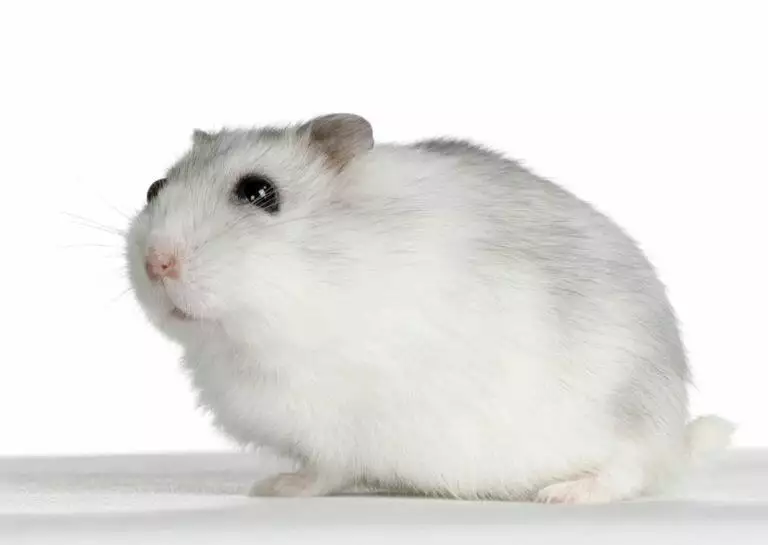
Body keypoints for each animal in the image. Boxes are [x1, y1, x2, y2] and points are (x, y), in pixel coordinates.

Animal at [125, 113, 733, 503]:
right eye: (154, 187)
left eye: (258, 192)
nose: (157, 263)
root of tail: (673, 431)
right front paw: (270, 485)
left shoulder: (333, 423)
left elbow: (323, 470)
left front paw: (275, 489)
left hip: (625, 418)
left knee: (630, 471)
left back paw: (563, 495)